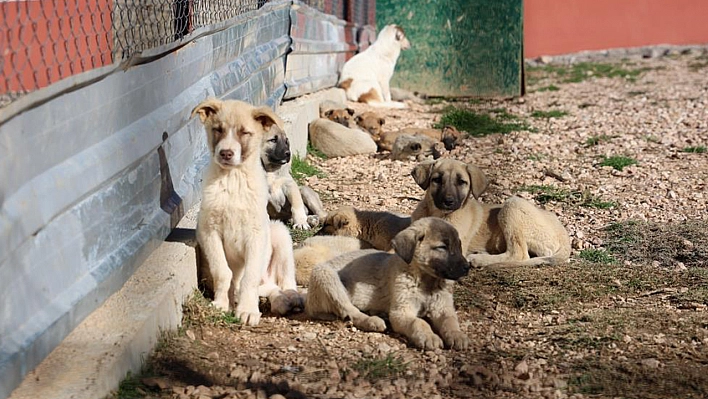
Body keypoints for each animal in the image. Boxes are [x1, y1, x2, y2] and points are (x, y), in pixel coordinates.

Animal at [192, 98, 302, 326]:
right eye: (218, 130)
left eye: (245, 133)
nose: (225, 153)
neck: (233, 179)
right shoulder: (209, 232)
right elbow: (222, 272)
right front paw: (221, 304)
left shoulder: (256, 235)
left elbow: (248, 277)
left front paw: (248, 310)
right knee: (271, 288)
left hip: (279, 234)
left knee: (286, 280)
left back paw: (292, 297)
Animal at [306, 217, 472, 352]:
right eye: (442, 247)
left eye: (459, 246)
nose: (467, 267)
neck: (426, 281)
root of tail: (309, 302)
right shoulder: (401, 311)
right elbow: (419, 322)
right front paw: (429, 336)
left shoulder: (443, 308)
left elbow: (450, 322)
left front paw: (457, 335)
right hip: (325, 274)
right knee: (350, 310)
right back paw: (372, 320)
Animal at [410, 158, 568, 268]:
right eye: (436, 180)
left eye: (462, 182)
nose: (448, 201)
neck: (437, 213)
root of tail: (564, 234)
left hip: (512, 205)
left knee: (519, 254)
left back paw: (479, 259)